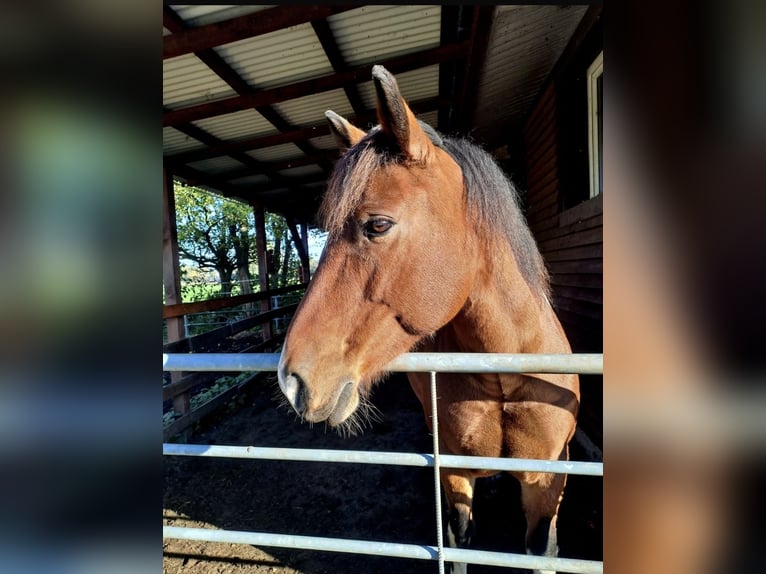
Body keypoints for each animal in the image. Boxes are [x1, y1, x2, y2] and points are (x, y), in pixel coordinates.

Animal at [277, 65, 579, 574]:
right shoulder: (454, 472)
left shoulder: (546, 483)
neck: (504, 375)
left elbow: (541, 550)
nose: (291, 379)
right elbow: (457, 544)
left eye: (378, 224)